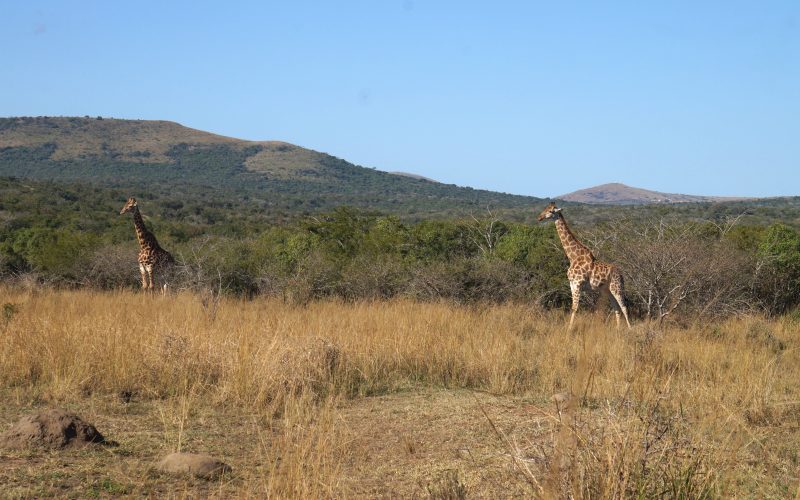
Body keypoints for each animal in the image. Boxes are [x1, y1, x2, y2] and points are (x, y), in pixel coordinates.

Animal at [536, 201, 632, 330]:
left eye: (551, 211)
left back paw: (630, 329)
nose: (539, 217)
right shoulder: (571, 284)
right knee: (616, 308)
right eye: (545, 208)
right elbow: (573, 308)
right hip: (607, 290)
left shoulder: (577, 283)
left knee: (624, 307)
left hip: (617, 287)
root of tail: (621, 275)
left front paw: (569, 329)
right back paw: (617, 329)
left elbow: (575, 308)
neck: (573, 256)